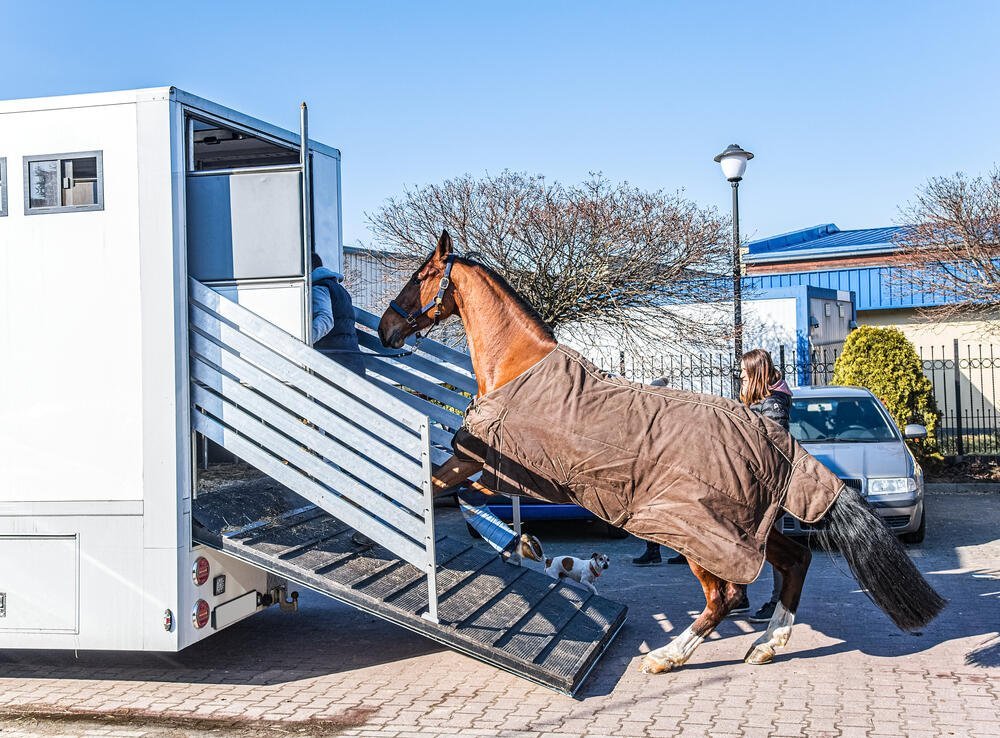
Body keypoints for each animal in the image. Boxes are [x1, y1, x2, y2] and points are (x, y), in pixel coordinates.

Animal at [376, 230, 944, 672]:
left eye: (421, 275)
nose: (386, 328)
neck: (518, 367)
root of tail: (776, 439)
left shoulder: (488, 465)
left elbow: (445, 488)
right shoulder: (509, 475)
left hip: (699, 531)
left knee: (725, 596)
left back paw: (670, 655)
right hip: (748, 527)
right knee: (795, 560)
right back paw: (766, 644)